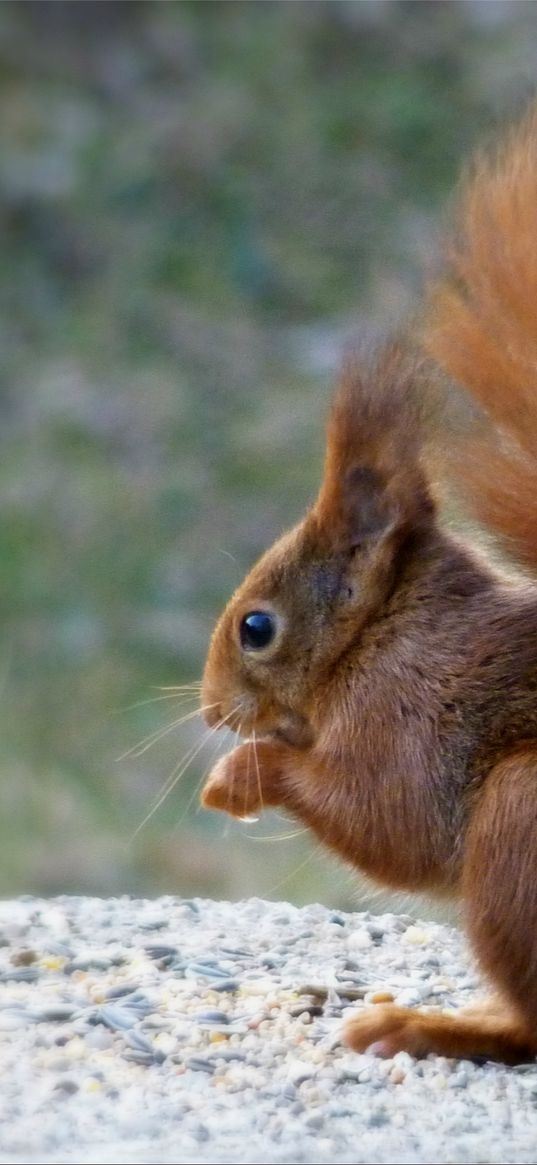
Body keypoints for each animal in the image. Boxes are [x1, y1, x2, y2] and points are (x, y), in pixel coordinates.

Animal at [199, 111, 535, 1067]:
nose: (210, 708)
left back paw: (427, 1025)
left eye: (256, 627)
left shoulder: (418, 714)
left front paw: (241, 772)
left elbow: (391, 820)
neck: (382, 635)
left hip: (520, 821)